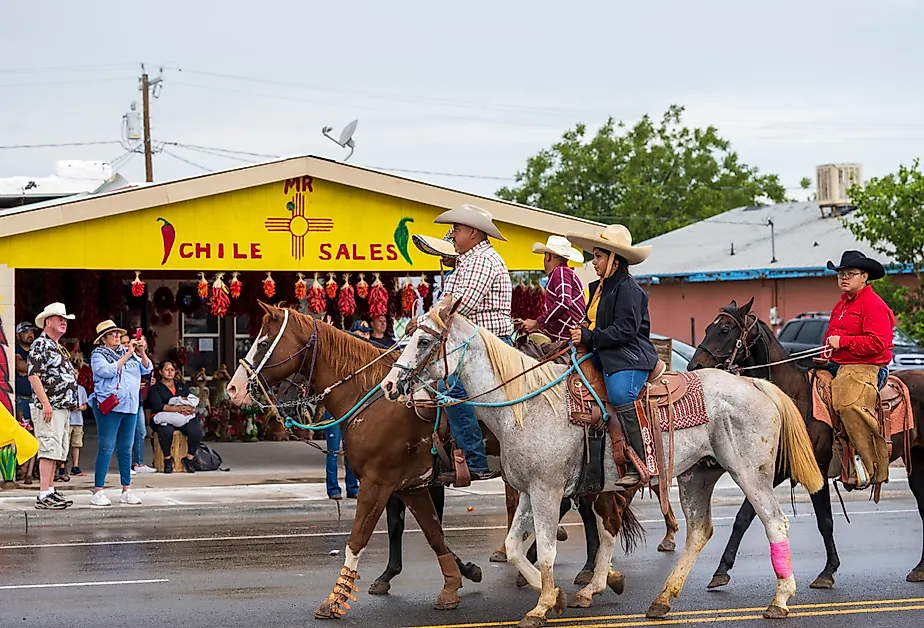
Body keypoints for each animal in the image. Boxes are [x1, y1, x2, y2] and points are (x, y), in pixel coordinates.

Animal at [378, 296, 828, 628]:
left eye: (423, 342)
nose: (388, 385)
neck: (525, 404)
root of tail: (756, 382)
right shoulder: (528, 490)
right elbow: (515, 547)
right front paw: (558, 596)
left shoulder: (547, 492)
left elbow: (545, 550)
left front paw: (543, 605)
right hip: (696, 476)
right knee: (699, 531)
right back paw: (662, 600)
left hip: (750, 474)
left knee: (774, 523)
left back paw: (780, 599)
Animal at [692, 298, 924, 584]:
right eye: (706, 328)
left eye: (725, 329)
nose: (694, 367)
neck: (794, 400)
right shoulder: (777, 471)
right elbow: (744, 516)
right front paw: (721, 571)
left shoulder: (819, 470)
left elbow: (825, 521)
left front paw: (828, 571)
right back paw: (919, 568)